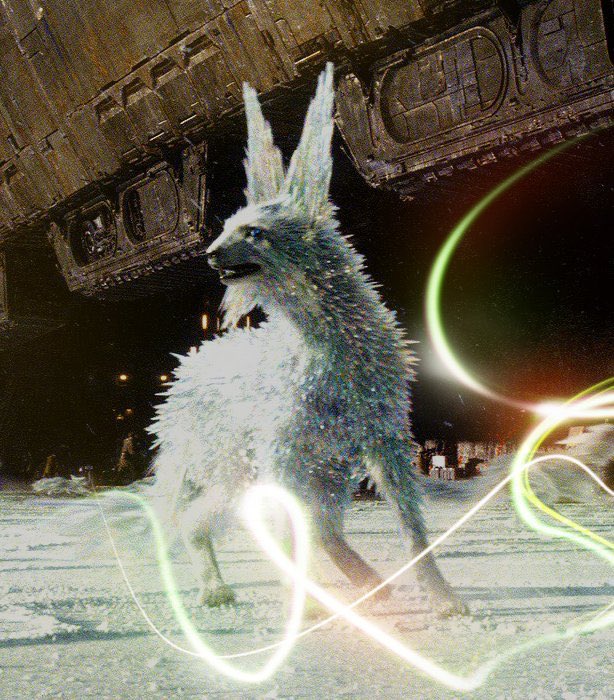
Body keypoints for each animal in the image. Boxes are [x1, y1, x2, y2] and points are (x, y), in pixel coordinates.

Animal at [148, 63, 466, 615]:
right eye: (226, 226)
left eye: (254, 232)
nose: (209, 254)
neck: (323, 343)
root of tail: (187, 371)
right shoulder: (283, 450)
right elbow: (297, 529)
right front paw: (314, 601)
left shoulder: (383, 440)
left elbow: (410, 525)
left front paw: (442, 598)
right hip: (231, 459)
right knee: (205, 518)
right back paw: (218, 588)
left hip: (312, 468)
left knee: (295, 523)